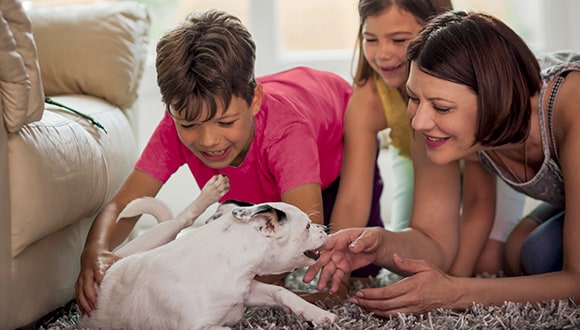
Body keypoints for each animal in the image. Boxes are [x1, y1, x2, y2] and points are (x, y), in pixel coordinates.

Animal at [79, 174, 338, 328]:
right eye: (307, 227)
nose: (324, 228)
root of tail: (115, 258)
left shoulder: (249, 291)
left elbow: (282, 292)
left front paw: (317, 314)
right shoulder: (199, 327)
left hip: (163, 234)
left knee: (180, 219)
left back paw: (212, 191)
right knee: (179, 219)